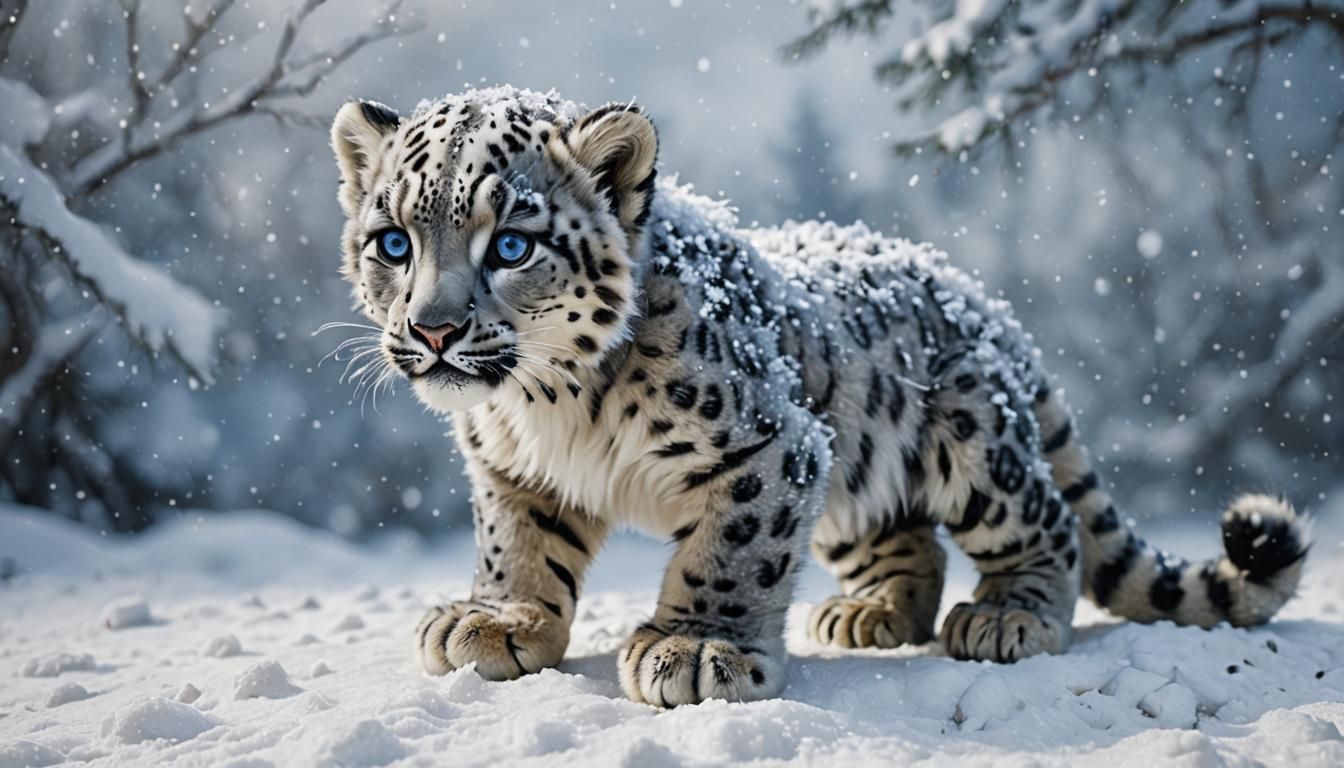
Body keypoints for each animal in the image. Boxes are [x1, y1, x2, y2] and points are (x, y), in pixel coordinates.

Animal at [328, 86, 1309, 707]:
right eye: (392, 241)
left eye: (511, 244)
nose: (433, 330)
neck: (543, 407)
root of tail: (978, 297)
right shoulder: (510, 470)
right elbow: (517, 543)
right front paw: (496, 620)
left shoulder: (771, 445)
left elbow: (730, 549)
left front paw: (699, 646)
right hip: (856, 468)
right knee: (909, 538)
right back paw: (870, 612)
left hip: (969, 443)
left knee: (1048, 524)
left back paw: (1005, 618)